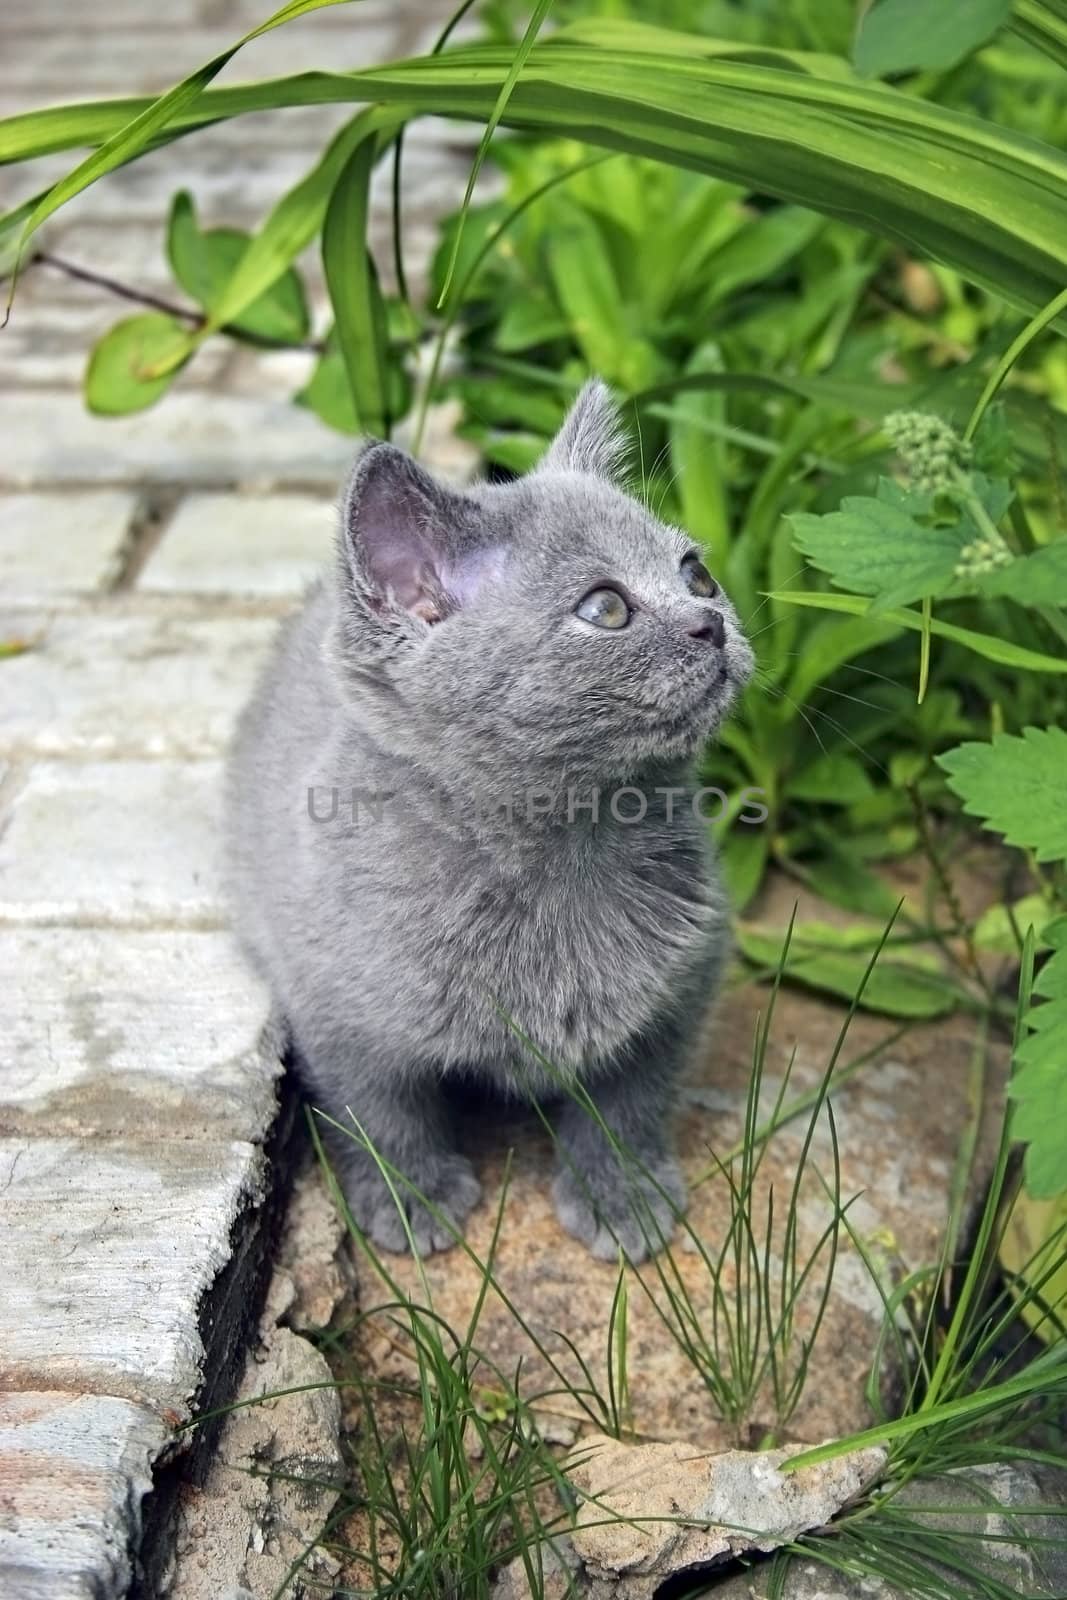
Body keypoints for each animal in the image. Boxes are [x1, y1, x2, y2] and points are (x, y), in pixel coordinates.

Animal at [227, 384, 751, 1260]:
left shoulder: (686, 979)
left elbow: (630, 1098)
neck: (565, 845)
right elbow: (380, 1111)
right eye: (605, 608)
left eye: (698, 574)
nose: (708, 623)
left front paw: (621, 1192)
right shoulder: (338, 1007)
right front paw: (410, 1198)